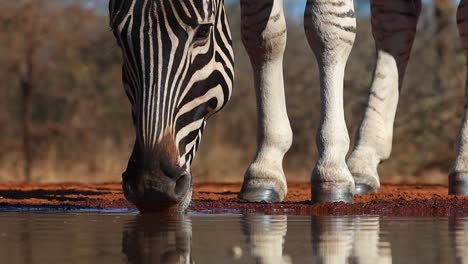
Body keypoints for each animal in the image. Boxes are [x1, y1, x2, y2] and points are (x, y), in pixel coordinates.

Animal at [109, 0, 468, 212]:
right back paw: (364, 161)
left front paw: (331, 168)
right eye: (119, 37)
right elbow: (261, 33)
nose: (151, 185)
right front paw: (266, 166)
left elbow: (328, 25)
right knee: (394, 21)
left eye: (203, 32)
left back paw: (462, 168)